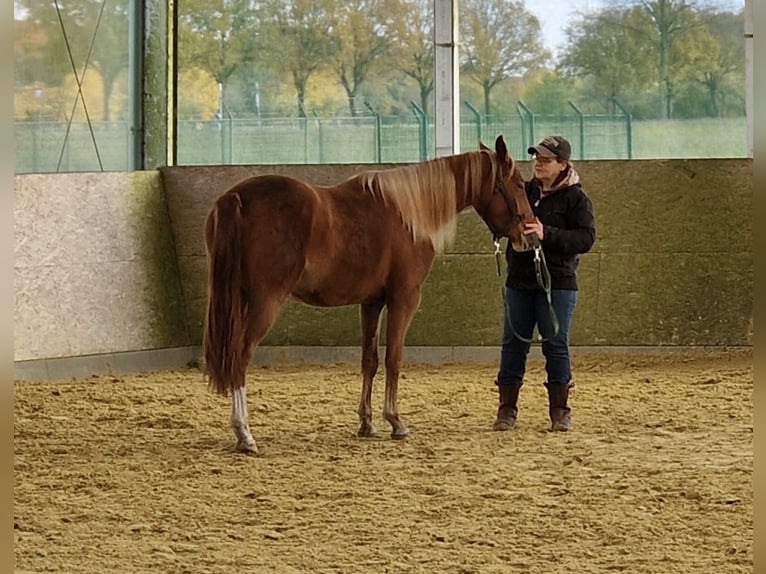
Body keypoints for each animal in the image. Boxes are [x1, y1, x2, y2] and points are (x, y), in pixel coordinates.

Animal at [203, 135, 535, 453]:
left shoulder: (372, 303)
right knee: (240, 356)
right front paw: (396, 421)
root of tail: (236, 198)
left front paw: (367, 422)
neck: (408, 215)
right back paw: (245, 433)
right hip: (265, 301)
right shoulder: (404, 299)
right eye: (519, 184)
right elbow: (394, 358)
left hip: (238, 299)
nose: (529, 237)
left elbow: (370, 360)